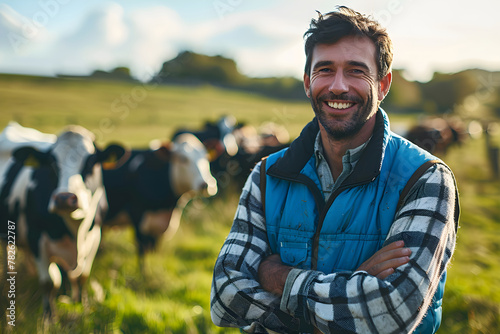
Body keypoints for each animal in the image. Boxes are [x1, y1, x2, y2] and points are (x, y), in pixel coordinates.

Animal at [0, 122, 124, 316]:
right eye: (52, 163)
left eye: (91, 162)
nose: (64, 198)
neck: (75, 230)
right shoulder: (36, 239)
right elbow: (49, 283)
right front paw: (49, 318)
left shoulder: (95, 236)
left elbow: (82, 277)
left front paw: (82, 306)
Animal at [102, 132, 218, 264]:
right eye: (183, 159)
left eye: (206, 157)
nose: (207, 184)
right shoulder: (137, 217)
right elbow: (142, 253)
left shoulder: (159, 228)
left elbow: (154, 251)